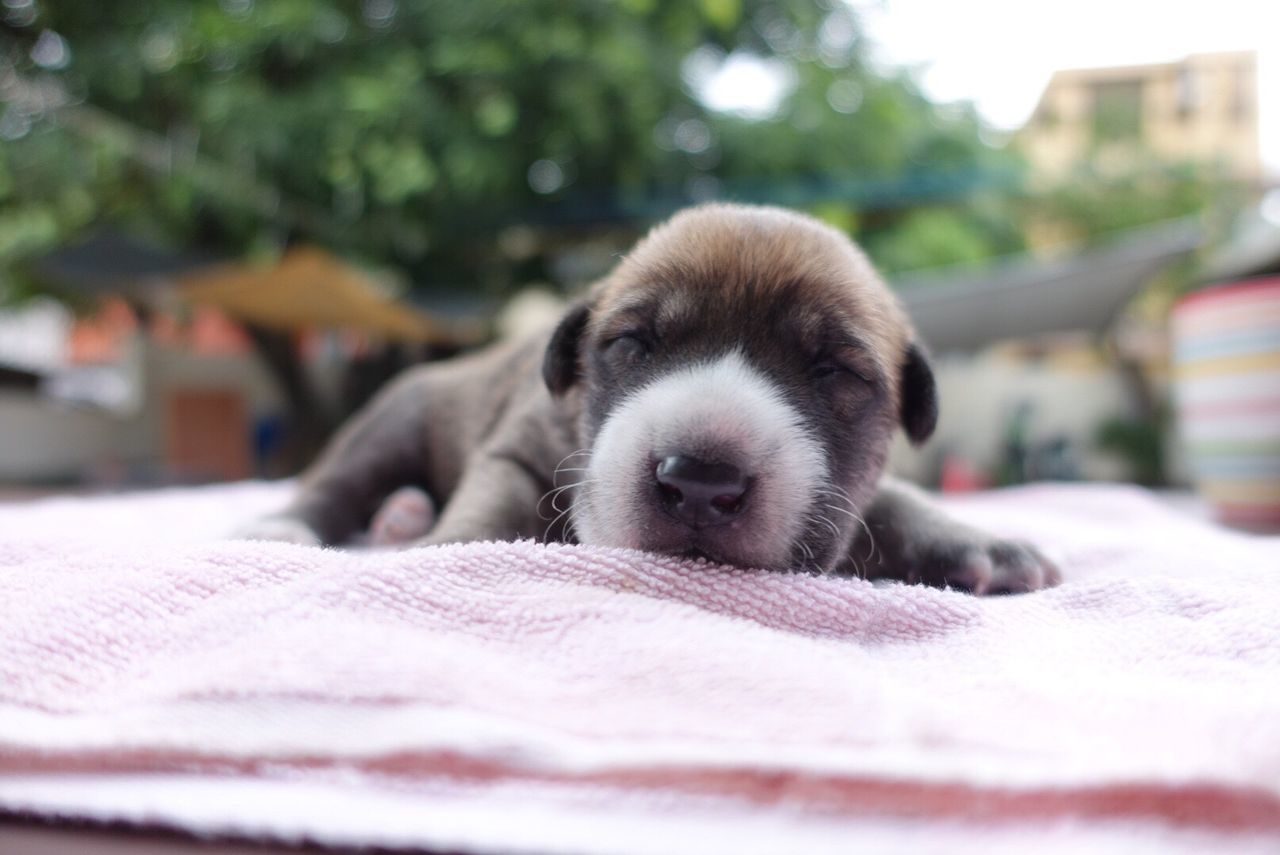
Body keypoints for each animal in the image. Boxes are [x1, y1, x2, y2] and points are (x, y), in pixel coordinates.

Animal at [240, 207, 1059, 593]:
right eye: (633, 343)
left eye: (835, 372)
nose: (698, 481)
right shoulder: (517, 448)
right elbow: (489, 507)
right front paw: (444, 550)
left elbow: (891, 499)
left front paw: (976, 541)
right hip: (393, 421)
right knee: (339, 481)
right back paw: (303, 524)